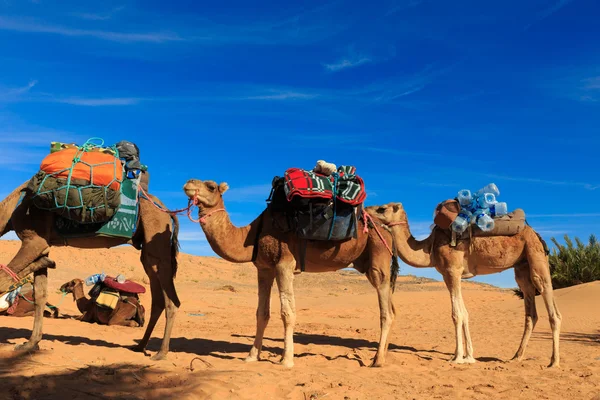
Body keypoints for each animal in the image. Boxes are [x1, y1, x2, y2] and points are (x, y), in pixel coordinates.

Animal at [183, 180, 398, 368]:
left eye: (211, 186)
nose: (188, 183)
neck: (251, 236)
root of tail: (386, 230)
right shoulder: (264, 269)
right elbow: (261, 313)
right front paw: (252, 356)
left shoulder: (284, 264)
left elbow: (287, 313)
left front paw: (286, 360)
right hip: (367, 262)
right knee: (391, 306)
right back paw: (382, 355)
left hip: (378, 254)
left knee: (386, 311)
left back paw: (378, 360)